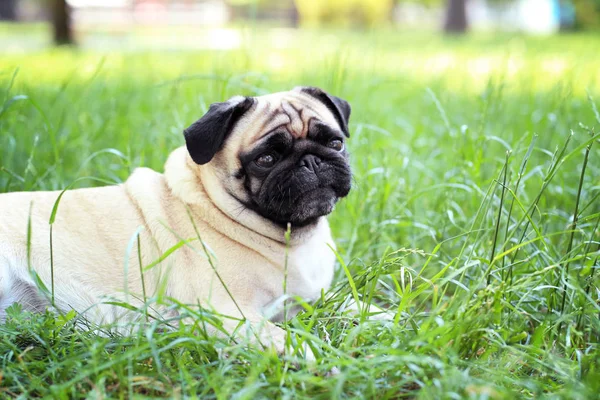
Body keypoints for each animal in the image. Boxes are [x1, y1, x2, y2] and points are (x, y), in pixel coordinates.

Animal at [0, 86, 352, 354]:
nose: (311, 161)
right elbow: (282, 337)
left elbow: (351, 304)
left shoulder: (315, 299)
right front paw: (320, 359)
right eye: (266, 159)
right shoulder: (227, 312)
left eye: (336, 143)